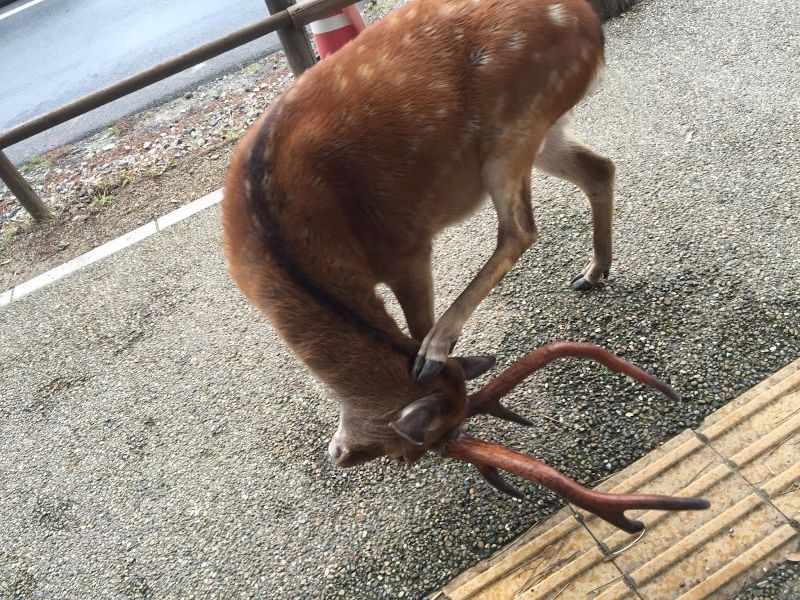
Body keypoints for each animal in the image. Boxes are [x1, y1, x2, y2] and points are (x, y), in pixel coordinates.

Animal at [222, 0, 709, 533]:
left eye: (411, 451)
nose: (340, 454)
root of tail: (588, 22)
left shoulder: (407, 247)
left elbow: (418, 324)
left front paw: (433, 352)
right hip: (544, 129)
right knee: (598, 167)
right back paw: (593, 270)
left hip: (514, 125)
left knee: (521, 227)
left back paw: (440, 344)